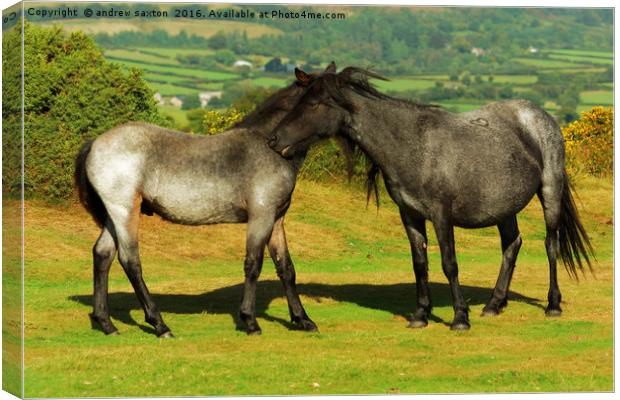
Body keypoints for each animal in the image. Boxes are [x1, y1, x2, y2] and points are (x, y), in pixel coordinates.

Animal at [76, 63, 340, 338]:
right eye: (320, 100)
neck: (267, 147)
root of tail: (94, 143)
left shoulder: (277, 219)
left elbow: (286, 268)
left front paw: (303, 320)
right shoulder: (261, 216)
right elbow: (253, 264)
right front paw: (250, 321)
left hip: (113, 215)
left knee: (102, 254)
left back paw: (106, 323)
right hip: (125, 211)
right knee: (130, 261)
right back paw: (159, 324)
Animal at [268, 67, 592, 332]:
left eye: (314, 104)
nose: (274, 139)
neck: (414, 146)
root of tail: (540, 116)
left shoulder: (441, 215)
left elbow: (449, 263)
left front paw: (460, 317)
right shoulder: (410, 215)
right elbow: (420, 263)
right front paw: (421, 315)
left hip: (550, 191)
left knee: (551, 245)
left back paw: (552, 305)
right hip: (504, 207)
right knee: (511, 245)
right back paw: (494, 304)